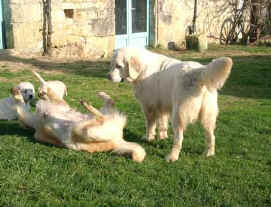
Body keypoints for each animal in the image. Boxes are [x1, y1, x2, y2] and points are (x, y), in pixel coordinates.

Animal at [11, 86, 147, 163]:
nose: (37, 94)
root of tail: (119, 140)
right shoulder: (30, 118)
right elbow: (19, 104)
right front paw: (17, 93)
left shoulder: (59, 103)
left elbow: (51, 95)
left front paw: (44, 92)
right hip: (88, 128)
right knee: (108, 106)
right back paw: (98, 98)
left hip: (83, 130)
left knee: (102, 114)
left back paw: (91, 102)